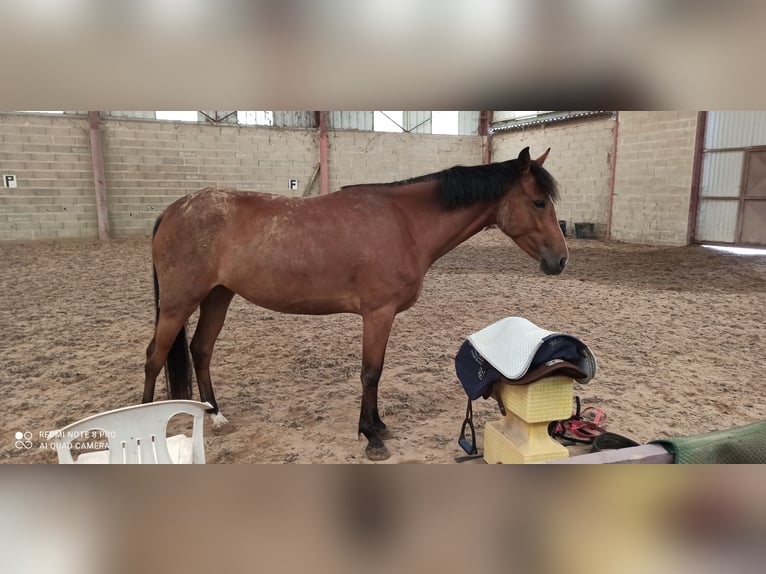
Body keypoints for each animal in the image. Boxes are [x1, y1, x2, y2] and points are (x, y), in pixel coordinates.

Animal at [142, 146, 568, 461]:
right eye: (538, 203)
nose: (560, 260)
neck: (405, 222)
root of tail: (174, 210)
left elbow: (374, 372)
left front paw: (378, 426)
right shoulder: (377, 314)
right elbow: (370, 373)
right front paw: (371, 437)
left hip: (218, 295)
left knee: (201, 349)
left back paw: (215, 415)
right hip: (179, 303)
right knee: (154, 358)